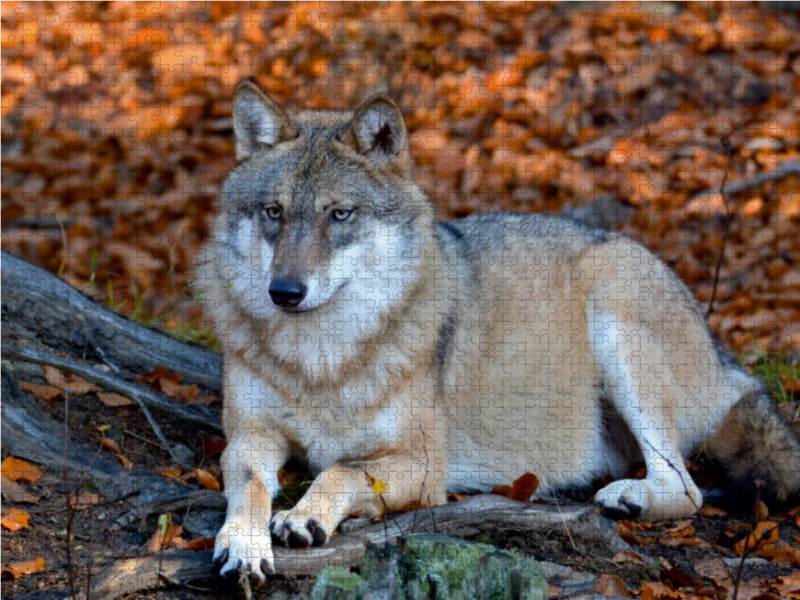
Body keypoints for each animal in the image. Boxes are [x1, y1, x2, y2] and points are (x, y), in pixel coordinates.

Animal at [197, 80, 800, 580]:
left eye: (339, 214)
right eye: (274, 212)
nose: (284, 292)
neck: (321, 360)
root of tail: (724, 358)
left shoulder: (424, 465)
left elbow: (339, 471)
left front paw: (304, 519)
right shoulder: (248, 439)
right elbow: (250, 488)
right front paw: (244, 542)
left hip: (615, 314)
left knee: (689, 489)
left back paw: (631, 498)